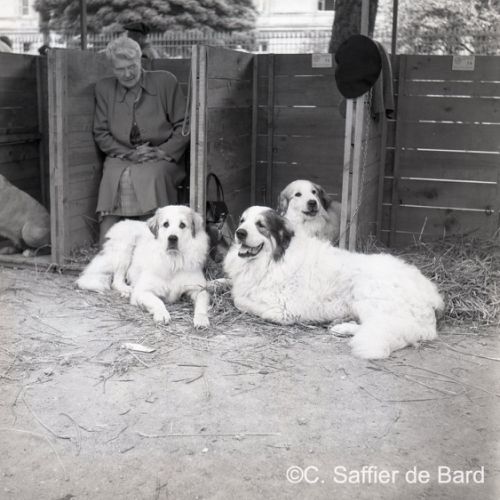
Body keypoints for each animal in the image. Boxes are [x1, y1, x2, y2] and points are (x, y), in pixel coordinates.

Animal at [76, 205, 210, 328]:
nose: (172, 238)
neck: (173, 261)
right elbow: (157, 301)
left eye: (182, 225)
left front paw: (201, 319)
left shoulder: (200, 289)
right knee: (117, 280)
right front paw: (162, 314)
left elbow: (201, 305)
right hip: (126, 247)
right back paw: (127, 290)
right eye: (166, 224)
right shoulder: (142, 291)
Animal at [224, 206, 444, 359]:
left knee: (379, 325)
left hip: (366, 292)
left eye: (260, 225)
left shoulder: (284, 310)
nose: (239, 232)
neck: (274, 259)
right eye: (242, 221)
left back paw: (342, 327)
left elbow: (239, 300)